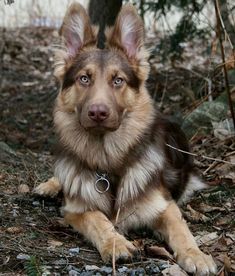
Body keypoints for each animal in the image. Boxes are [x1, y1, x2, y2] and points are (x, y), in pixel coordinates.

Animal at [35, 3, 217, 274]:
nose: (98, 113)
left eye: (117, 80)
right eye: (84, 79)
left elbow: (181, 231)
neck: (108, 164)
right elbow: (98, 219)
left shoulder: (165, 206)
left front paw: (196, 255)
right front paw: (116, 243)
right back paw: (48, 186)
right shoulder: (76, 210)